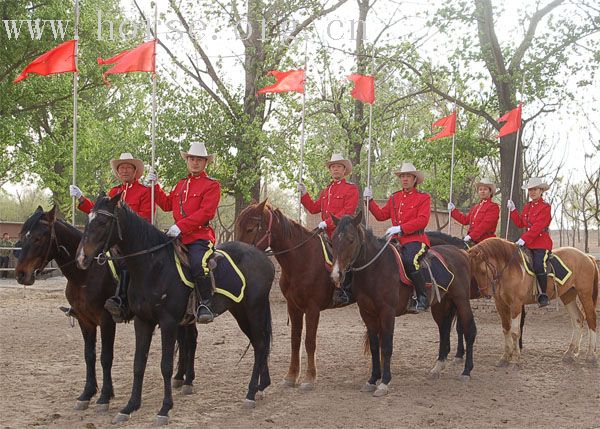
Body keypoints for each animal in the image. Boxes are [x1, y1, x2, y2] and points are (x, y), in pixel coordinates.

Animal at [75, 194, 274, 424]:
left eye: (102, 222)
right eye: (88, 221)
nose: (81, 258)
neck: (153, 266)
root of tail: (262, 256)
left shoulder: (168, 323)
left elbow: (166, 366)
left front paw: (164, 409)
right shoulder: (143, 321)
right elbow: (138, 364)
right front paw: (130, 407)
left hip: (254, 309)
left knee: (260, 343)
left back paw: (251, 393)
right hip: (240, 311)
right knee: (259, 343)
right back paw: (261, 386)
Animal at [236, 199, 338, 390]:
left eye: (251, 229)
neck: (303, 258)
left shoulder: (313, 309)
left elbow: (309, 342)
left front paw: (309, 378)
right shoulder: (293, 307)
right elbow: (295, 340)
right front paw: (291, 376)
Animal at [330, 212, 476, 396]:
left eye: (350, 239)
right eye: (332, 240)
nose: (337, 274)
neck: (375, 269)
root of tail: (462, 252)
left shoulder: (387, 312)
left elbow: (386, 346)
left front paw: (384, 382)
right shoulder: (367, 313)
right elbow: (374, 346)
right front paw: (372, 379)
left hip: (461, 300)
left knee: (469, 330)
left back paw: (466, 371)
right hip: (440, 305)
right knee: (444, 329)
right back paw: (437, 367)